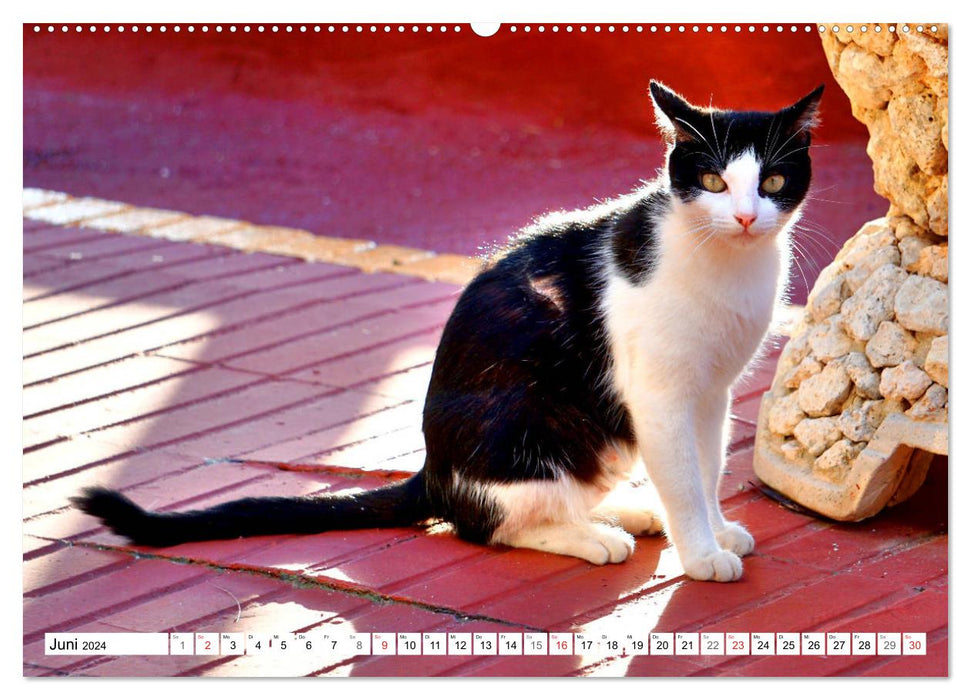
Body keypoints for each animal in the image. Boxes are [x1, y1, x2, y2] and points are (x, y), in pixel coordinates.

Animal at [72, 82, 824, 584]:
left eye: (773, 180)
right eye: (712, 180)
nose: (747, 217)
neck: (725, 265)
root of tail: (432, 469)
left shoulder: (712, 392)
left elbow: (707, 465)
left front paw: (715, 531)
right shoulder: (660, 396)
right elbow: (683, 475)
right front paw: (701, 554)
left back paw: (630, 513)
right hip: (532, 420)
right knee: (486, 522)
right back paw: (591, 537)